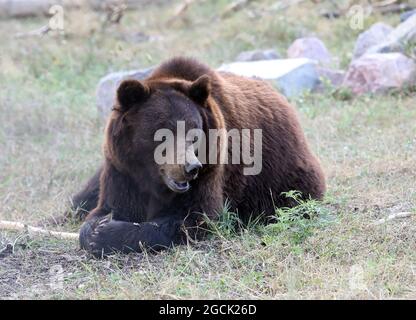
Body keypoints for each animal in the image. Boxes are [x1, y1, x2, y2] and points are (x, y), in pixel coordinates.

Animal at [76, 57, 326, 258]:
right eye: (162, 134)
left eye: (194, 133)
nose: (190, 167)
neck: (154, 180)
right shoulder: (123, 169)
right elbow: (109, 206)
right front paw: (94, 228)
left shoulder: (212, 169)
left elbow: (193, 218)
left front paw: (105, 234)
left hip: (282, 176)